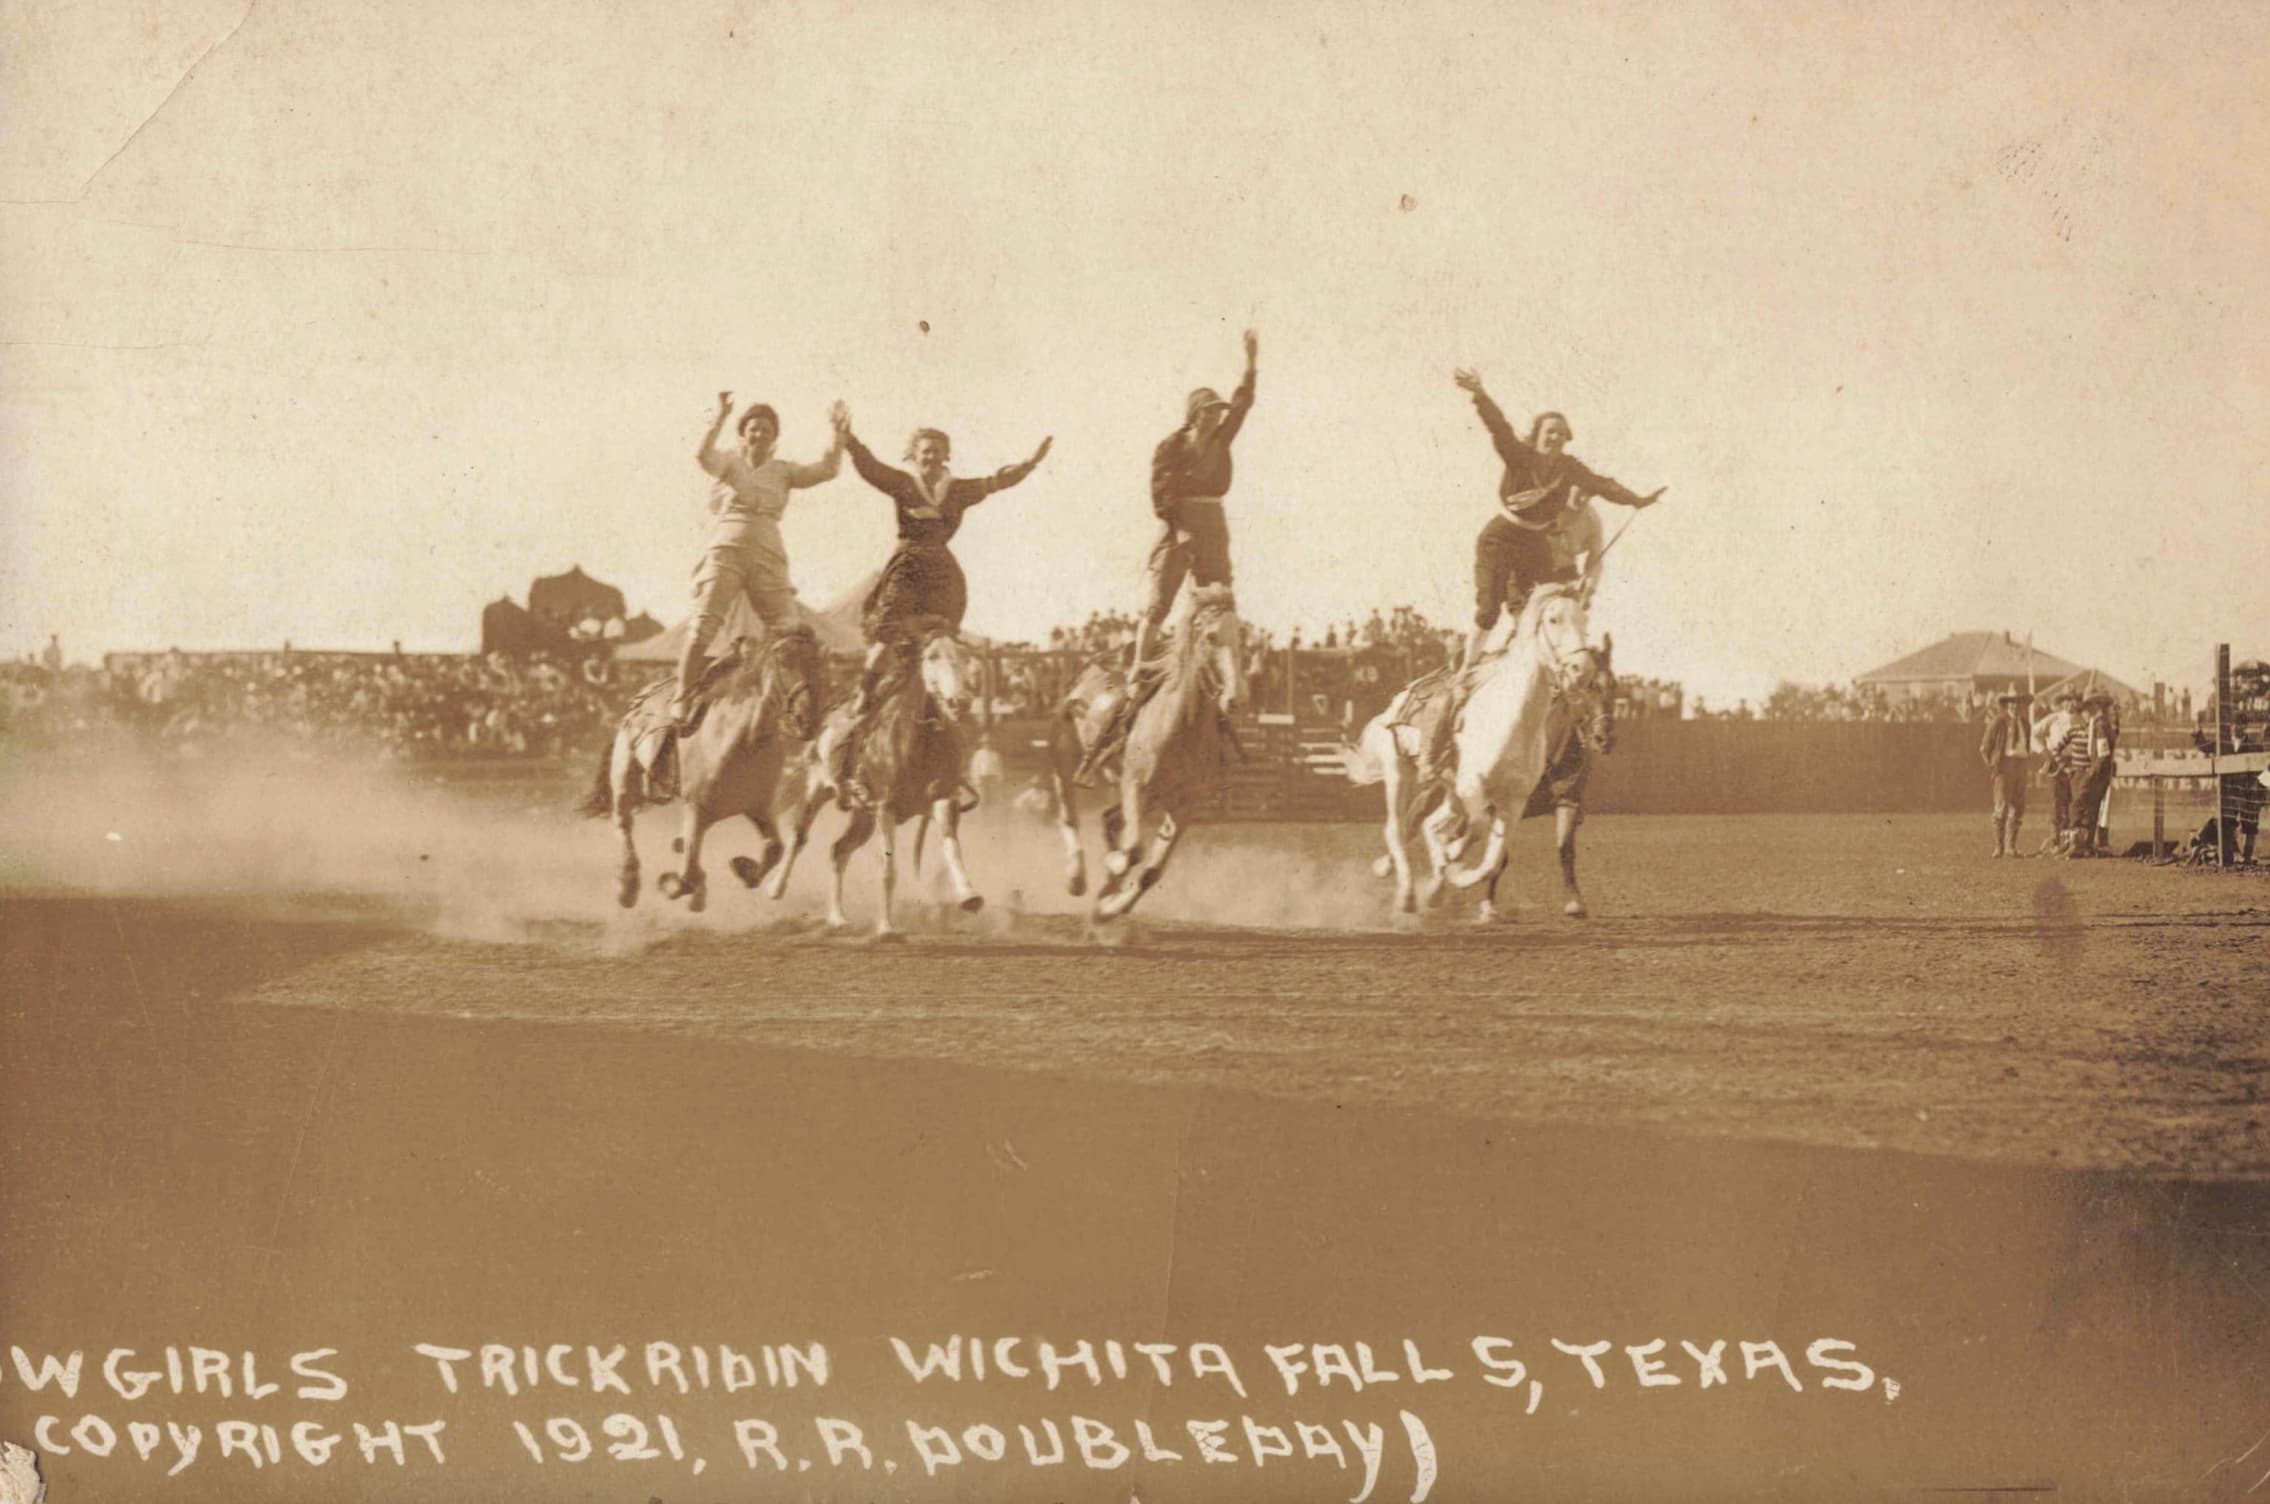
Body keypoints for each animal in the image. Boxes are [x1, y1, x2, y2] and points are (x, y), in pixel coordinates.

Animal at [767, 617, 980, 934]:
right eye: (932, 656)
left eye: (965, 657)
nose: (961, 700)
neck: (917, 741)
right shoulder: (884, 807)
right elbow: (888, 870)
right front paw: (886, 929)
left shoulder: (943, 799)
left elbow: (952, 848)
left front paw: (969, 895)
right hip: (818, 789)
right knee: (798, 837)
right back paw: (776, 888)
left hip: (862, 816)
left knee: (838, 850)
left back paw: (837, 917)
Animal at [1048, 585, 1253, 916]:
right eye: (1211, 636)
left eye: (1241, 638)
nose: (1237, 699)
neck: (1179, 726)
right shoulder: (1134, 782)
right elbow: (1132, 851)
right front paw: (1114, 870)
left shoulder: (1185, 806)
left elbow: (1150, 871)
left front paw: (1109, 908)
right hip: (1064, 751)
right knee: (1067, 810)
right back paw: (1076, 876)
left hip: (1145, 795)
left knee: (1110, 819)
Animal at [1343, 585, 1616, 916]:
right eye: (1553, 619)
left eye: (1613, 685)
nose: (1581, 668)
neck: (1515, 720)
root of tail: (1401, 696)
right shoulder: (1474, 787)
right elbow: (1476, 832)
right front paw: (1456, 873)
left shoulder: (1520, 800)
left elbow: (1495, 858)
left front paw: (1446, 880)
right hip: (1400, 771)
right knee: (1398, 829)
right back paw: (1406, 892)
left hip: (1449, 789)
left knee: (1430, 825)